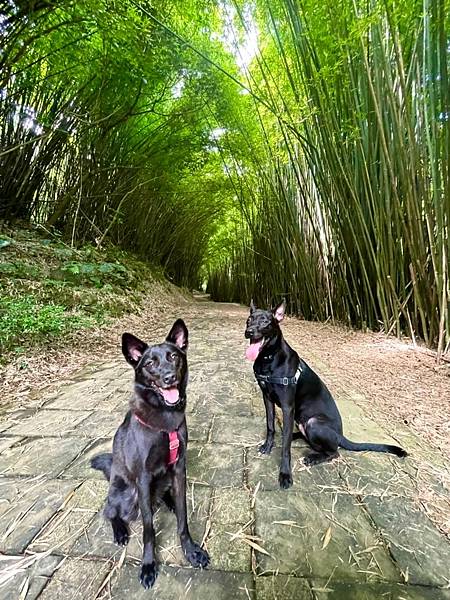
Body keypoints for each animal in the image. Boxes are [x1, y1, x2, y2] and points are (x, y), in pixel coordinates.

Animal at [92, 322, 211, 588]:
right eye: (149, 363)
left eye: (173, 357)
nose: (169, 378)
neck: (165, 418)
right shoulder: (144, 478)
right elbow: (148, 529)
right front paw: (148, 564)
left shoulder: (178, 469)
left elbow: (183, 519)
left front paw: (190, 550)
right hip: (125, 492)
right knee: (110, 510)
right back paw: (120, 531)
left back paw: (170, 501)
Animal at [244, 298, 406, 490]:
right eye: (249, 320)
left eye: (265, 322)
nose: (249, 331)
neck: (268, 358)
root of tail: (340, 436)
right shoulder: (267, 398)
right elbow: (270, 426)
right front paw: (268, 446)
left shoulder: (287, 407)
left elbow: (285, 448)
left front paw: (285, 474)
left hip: (313, 423)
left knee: (334, 452)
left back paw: (313, 457)